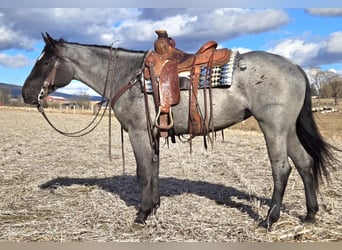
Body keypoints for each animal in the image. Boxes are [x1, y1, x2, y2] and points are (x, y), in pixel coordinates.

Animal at [22, 33, 338, 230]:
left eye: (46, 61)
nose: (26, 94)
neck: (127, 75)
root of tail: (295, 66)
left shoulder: (138, 131)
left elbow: (142, 172)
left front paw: (141, 215)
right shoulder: (152, 133)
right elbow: (153, 169)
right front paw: (153, 207)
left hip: (273, 126)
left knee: (281, 169)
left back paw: (269, 220)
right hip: (287, 129)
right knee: (305, 163)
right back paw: (310, 215)